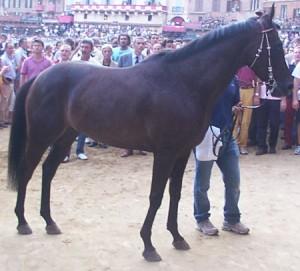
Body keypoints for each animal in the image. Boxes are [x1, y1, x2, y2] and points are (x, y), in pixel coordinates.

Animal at [7, 4, 292, 264]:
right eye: (277, 45)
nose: (288, 85)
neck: (184, 83)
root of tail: (40, 77)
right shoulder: (164, 153)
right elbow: (156, 196)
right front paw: (149, 246)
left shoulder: (181, 153)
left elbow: (175, 194)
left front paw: (177, 238)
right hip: (41, 136)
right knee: (27, 171)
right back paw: (22, 222)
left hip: (65, 136)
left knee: (48, 171)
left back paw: (49, 221)